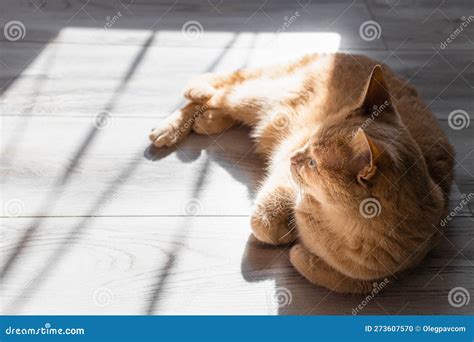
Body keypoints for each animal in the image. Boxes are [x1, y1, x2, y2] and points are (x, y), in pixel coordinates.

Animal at [150, 53, 454, 294]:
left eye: (313, 163)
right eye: (311, 141)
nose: (295, 155)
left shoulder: (385, 276)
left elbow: (325, 272)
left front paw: (301, 250)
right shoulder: (282, 184)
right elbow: (265, 225)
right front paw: (285, 234)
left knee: (223, 100)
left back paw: (209, 119)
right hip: (259, 98)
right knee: (224, 86)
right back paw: (179, 116)